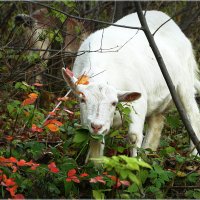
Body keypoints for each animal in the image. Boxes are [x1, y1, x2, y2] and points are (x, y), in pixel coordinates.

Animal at [62, 10, 200, 162]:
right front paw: (95, 163)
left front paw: (135, 163)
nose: (96, 125)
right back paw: (148, 152)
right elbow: (95, 139)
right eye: (82, 99)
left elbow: (133, 137)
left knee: (193, 114)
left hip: (184, 82)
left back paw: (194, 155)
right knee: (157, 122)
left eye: (114, 102)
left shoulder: (139, 102)